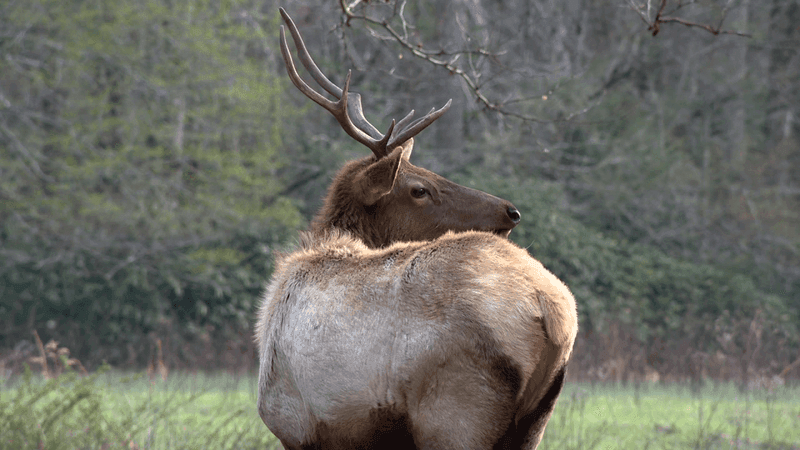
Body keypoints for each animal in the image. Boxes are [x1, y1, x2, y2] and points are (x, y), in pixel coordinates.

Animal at [255, 8, 578, 450]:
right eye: (419, 187)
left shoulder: (296, 425)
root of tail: (551, 310)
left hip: (455, 412)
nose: (510, 212)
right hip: (534, 420)